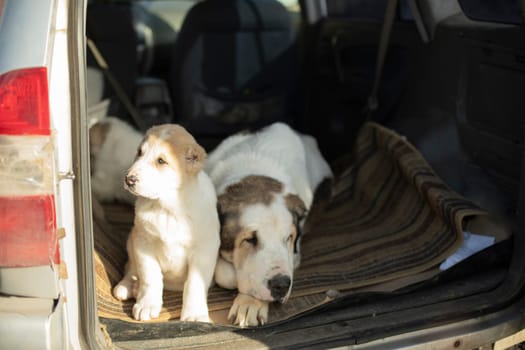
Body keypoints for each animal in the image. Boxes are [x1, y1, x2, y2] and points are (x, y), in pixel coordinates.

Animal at [113, 123, 220, 322]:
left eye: (161, 161)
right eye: (139, 152)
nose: (129, 179)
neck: (167, 207)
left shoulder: (204, 251)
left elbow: (194, 284)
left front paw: (194, 314)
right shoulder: (143, 244)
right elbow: (150, 277)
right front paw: (147, 304)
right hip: (131, 240)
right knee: (130, 267)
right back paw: (129, 286)